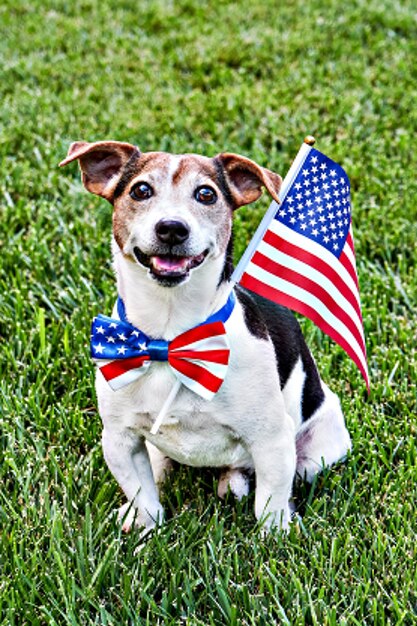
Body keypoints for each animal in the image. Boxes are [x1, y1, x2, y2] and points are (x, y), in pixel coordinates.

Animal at [59, 140, 352, 532]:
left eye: (206, 194)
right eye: (140, 190)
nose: (171, 228)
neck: (171, 339)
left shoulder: (272, 440)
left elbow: (271, 503)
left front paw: (275, 537)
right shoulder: (120, 439)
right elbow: (143, 494)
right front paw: (145, 527)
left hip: (316, 448)